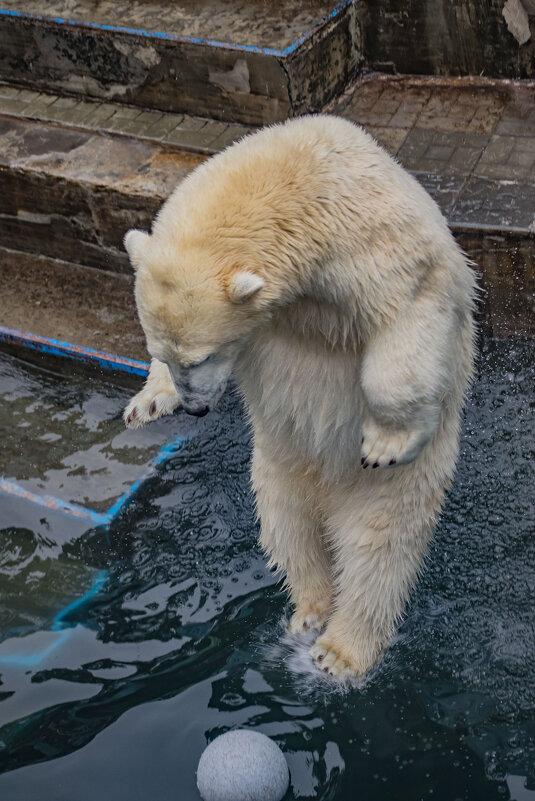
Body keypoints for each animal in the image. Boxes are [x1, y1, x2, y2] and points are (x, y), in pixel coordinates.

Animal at [122, 115, 478, 680]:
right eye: (167, 354)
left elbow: (408, 309)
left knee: (378, 551)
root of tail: (330, 495)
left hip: (394, 489)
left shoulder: (368, 238)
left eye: (204, 356)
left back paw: (340, 651)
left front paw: (385, 441)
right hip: (275, 468)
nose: (198, 407)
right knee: (289, 531)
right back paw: (309, 610)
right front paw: (148, 403)